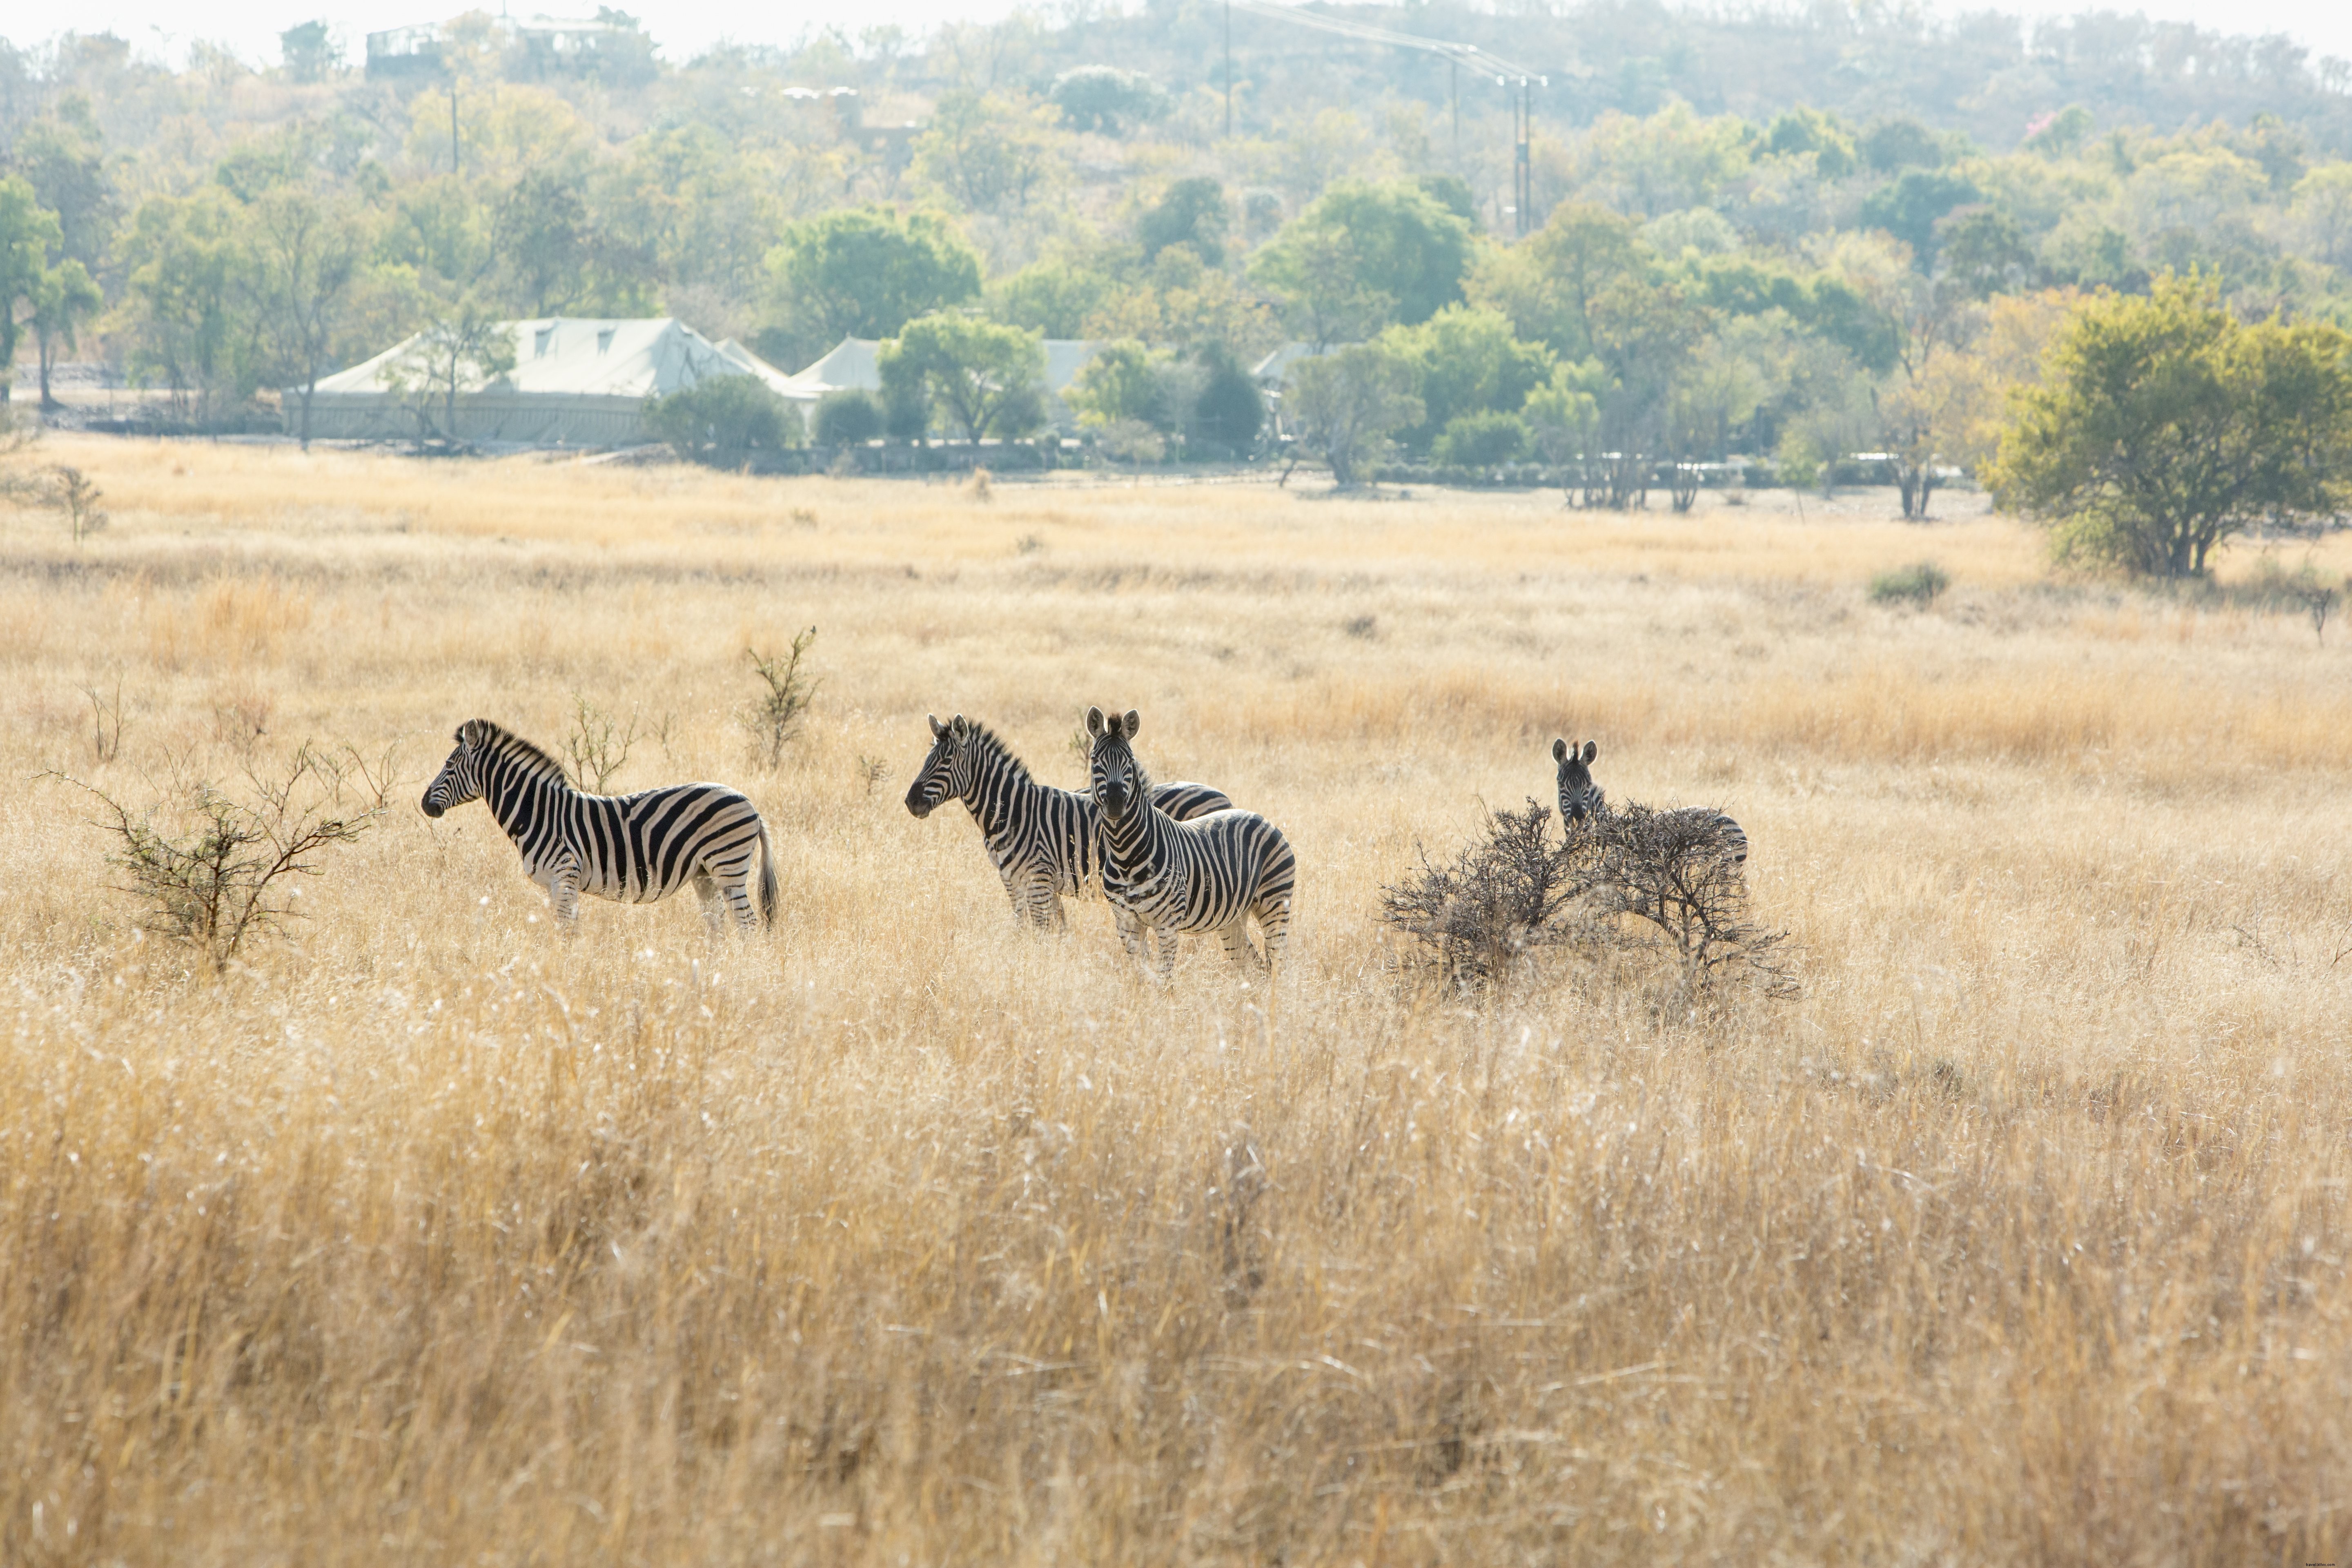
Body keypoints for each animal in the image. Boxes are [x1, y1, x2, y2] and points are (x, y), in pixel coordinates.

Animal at [423, 719, 781, 931]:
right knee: (717, 925)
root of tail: (749, 803)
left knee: (747, 924)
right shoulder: (556, 884)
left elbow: (565, 932)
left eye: (449, 765)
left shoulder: (565, 874)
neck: (539, 812)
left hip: (728, 867)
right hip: (705, 875)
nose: (426, 804)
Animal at [898, 710, 1232, 931]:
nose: (911, 802)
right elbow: (1035, 929)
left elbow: (1041, 931)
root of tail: (1224, 800)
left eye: (946, 762)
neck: (1013, 812)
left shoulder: (1039, 879)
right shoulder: (1014, 879)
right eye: (928, 759)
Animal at [1077, 710, 1289, 982]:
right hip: (1234, 918)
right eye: (1095, 760)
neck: (1125, 853)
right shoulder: (1126, 923)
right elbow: (1140, 975)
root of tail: (1261, 817)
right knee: (1254, 966)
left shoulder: (1167, 924)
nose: (1115, 804)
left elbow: (1163, 981)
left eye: (1131, 762)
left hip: (1275, 903)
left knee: (1279, 963)